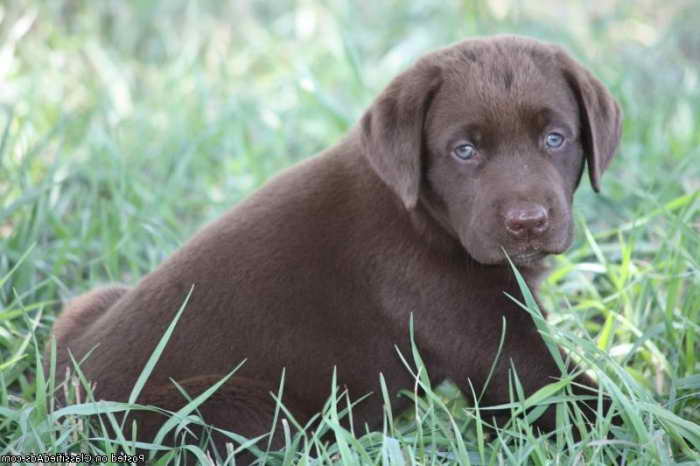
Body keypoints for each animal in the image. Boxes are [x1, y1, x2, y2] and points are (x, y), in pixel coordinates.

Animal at [49, 35, 620, 458]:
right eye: (464, 151)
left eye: (555, 139)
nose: (528, 223)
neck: (422, 217)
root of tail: (64, 408)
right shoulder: (500, 345)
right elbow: (585, 406)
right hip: (236, 411)